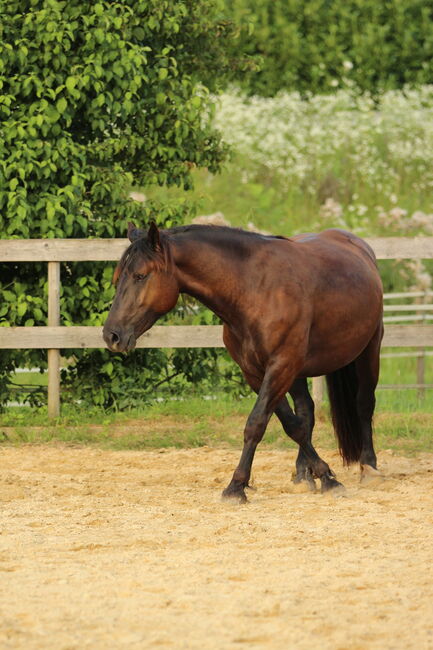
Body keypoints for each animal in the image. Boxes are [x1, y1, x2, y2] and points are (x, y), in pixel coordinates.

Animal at [103, 223, 384, 502]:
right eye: (118, 278)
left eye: (140, 276)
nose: (111, 335)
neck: (254, 290)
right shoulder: (256, 372)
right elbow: (292, 425)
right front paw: (321, 474)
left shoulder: (280, 365)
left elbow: (256, 423)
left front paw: (237, 486)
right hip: (297, 372)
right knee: (306, 411)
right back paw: (303, 474)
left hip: (369, 350)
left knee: (364, 404)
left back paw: (369, 467)